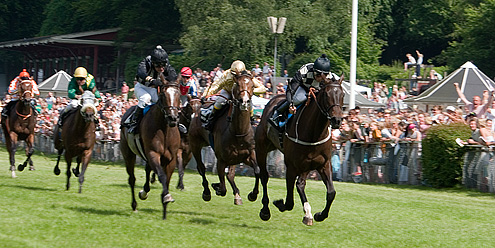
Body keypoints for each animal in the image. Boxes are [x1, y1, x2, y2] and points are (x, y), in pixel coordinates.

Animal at [119, 73, 181, 219]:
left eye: (179, 94)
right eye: (163, 95)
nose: (173, 118)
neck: (164, 129)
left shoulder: (171, 158)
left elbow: (166, 179)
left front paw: (165, 211)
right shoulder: (153, 153)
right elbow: (162, 176)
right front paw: (166, 197)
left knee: (147, 170)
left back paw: (144, 191)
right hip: (128, 153)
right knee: (132, 179)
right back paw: (134, 204)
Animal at [188, 71, 262, 205]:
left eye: (253, 86)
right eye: (237, 84)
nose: (244, 101)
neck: (238, 131)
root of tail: (197, 110)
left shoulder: (247, 155)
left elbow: (257, 170)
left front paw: (252, 194)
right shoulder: (221, 160)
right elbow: (222, 188)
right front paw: (216, 186)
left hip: (233, 158)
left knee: (230, 175)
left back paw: (236, 195)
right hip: (195, 144)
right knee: (201, 168)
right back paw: (207, 192)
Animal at [256, 74, 344, 225]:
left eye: (343, 94)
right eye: (326, 95)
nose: (336, 120)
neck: (314, 133)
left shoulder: (323, 164)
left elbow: (331, 192)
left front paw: (319, 215)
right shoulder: (292, 166)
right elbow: (289, 202)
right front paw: (279, 203)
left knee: (300, 184)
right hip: (261, 148)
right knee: (263, 175)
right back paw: (264, 209)